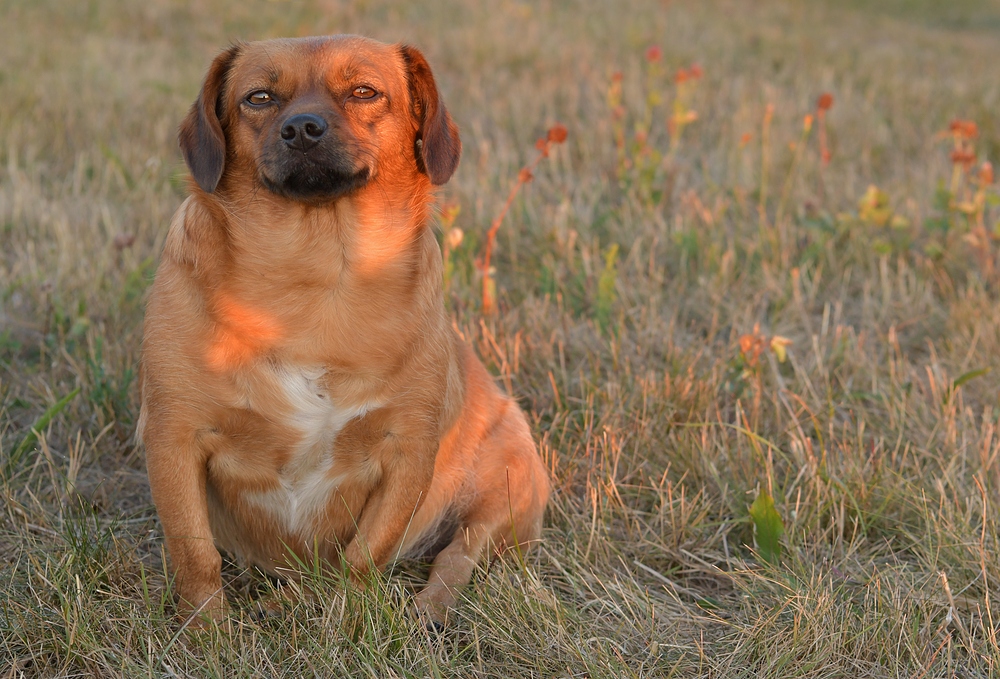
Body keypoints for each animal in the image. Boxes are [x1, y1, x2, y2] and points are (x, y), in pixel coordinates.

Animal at [138, 34, 552, 624]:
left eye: (364, 91)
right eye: (259, 97)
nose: (302, 128)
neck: (316, 274)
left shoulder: (407, 452)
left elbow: (364, 557)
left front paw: (348, 623)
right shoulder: (174, 440)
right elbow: (195, 555)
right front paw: (207, 632)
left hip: (506, 493)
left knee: (455, 558)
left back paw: (425, 613)